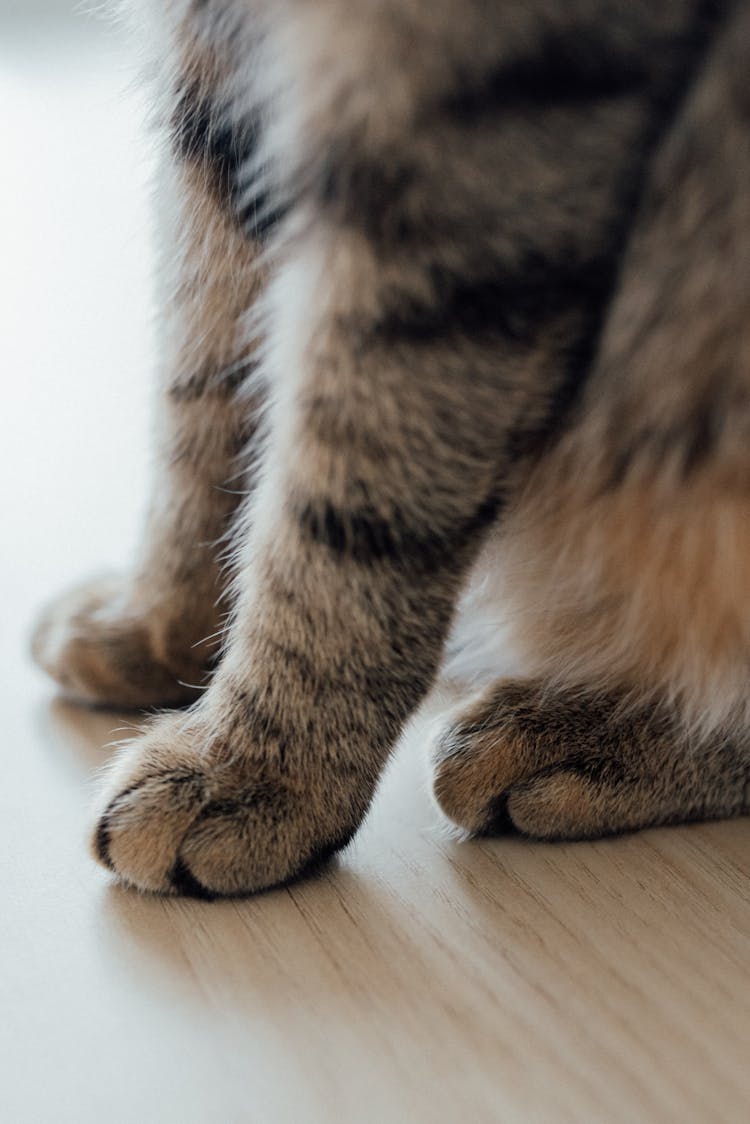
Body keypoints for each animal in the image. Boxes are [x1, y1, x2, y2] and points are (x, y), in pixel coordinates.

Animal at [32, 0, 750, 894]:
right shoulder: (222, 76)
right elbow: (210, 379)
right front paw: (162, 621)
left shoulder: (466, 119)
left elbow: (350, 500)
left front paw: (257, 764)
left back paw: (605, 724)